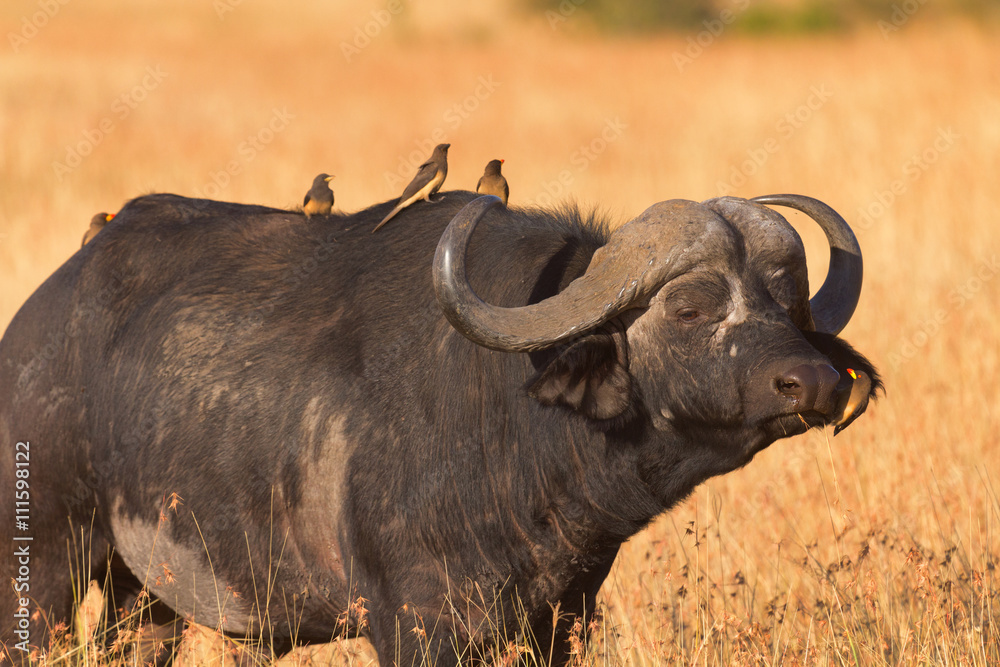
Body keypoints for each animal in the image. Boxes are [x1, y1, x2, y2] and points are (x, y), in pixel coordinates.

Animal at [0, 191, 880, 665]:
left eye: (787, 305)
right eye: (691, 307)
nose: (812, 382)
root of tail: (37, 321)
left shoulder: (563, 621)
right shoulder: (417, 625)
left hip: (143, 595)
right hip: (44, 566)